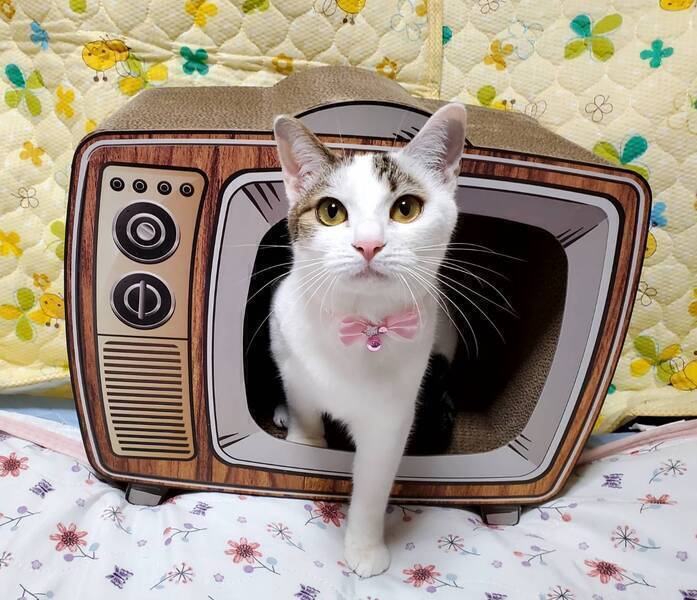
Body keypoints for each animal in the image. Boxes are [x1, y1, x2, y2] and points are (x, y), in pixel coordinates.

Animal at [270, 103, 467, 578]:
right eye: (331, 211)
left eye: (406, 208)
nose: (369, 244)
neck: (361, 326)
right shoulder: (286, 343)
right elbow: (305, 407)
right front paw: (306, 440)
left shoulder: (393, 416)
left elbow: (375, 481)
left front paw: (363, 547)